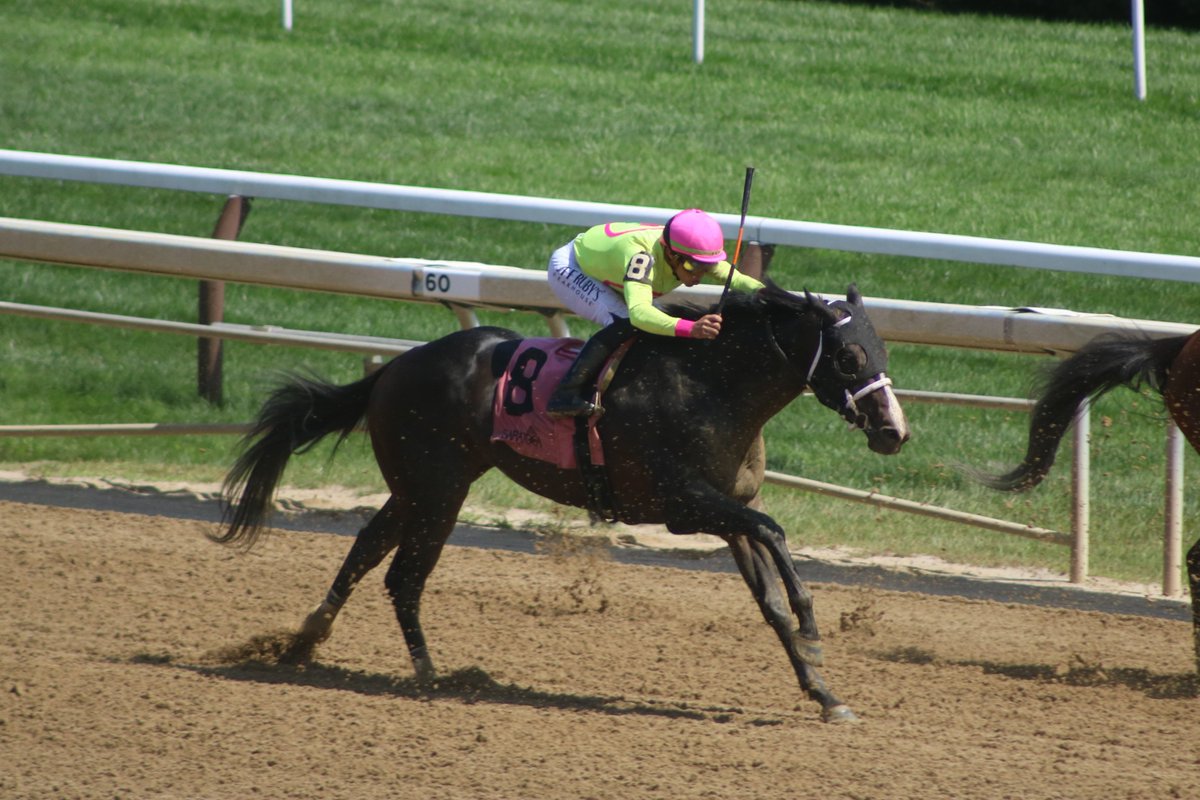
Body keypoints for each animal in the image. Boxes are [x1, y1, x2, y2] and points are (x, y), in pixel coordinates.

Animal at [215, 281, 911, 723]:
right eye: (848, 355)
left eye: (883, 350)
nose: (893, 430)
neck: (712, 385)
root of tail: (393, 368)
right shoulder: (685, 504)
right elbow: (774, 532)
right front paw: (816, 634)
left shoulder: (725, 510)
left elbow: (768, 597)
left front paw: (824, 693)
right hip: (438, 491)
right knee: (403, 575)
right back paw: (430, 676)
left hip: (419, 487)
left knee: (366, 553)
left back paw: (307, 642)